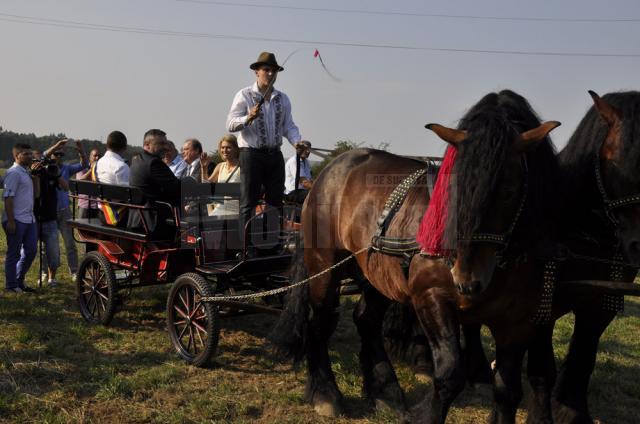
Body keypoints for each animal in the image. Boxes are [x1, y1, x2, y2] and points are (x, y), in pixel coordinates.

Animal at [270, 90, 560, 424]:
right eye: (452, 186)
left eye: (510, 191)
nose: (465, 279)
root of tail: (331, 169)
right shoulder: (431, 297)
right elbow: (450, 374)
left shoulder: (519, 321)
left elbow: (508, 389)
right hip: (324, 265)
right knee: (320, 321)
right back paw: (325, 393)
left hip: (377, 273)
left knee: (366, 321)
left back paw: (385, 391)